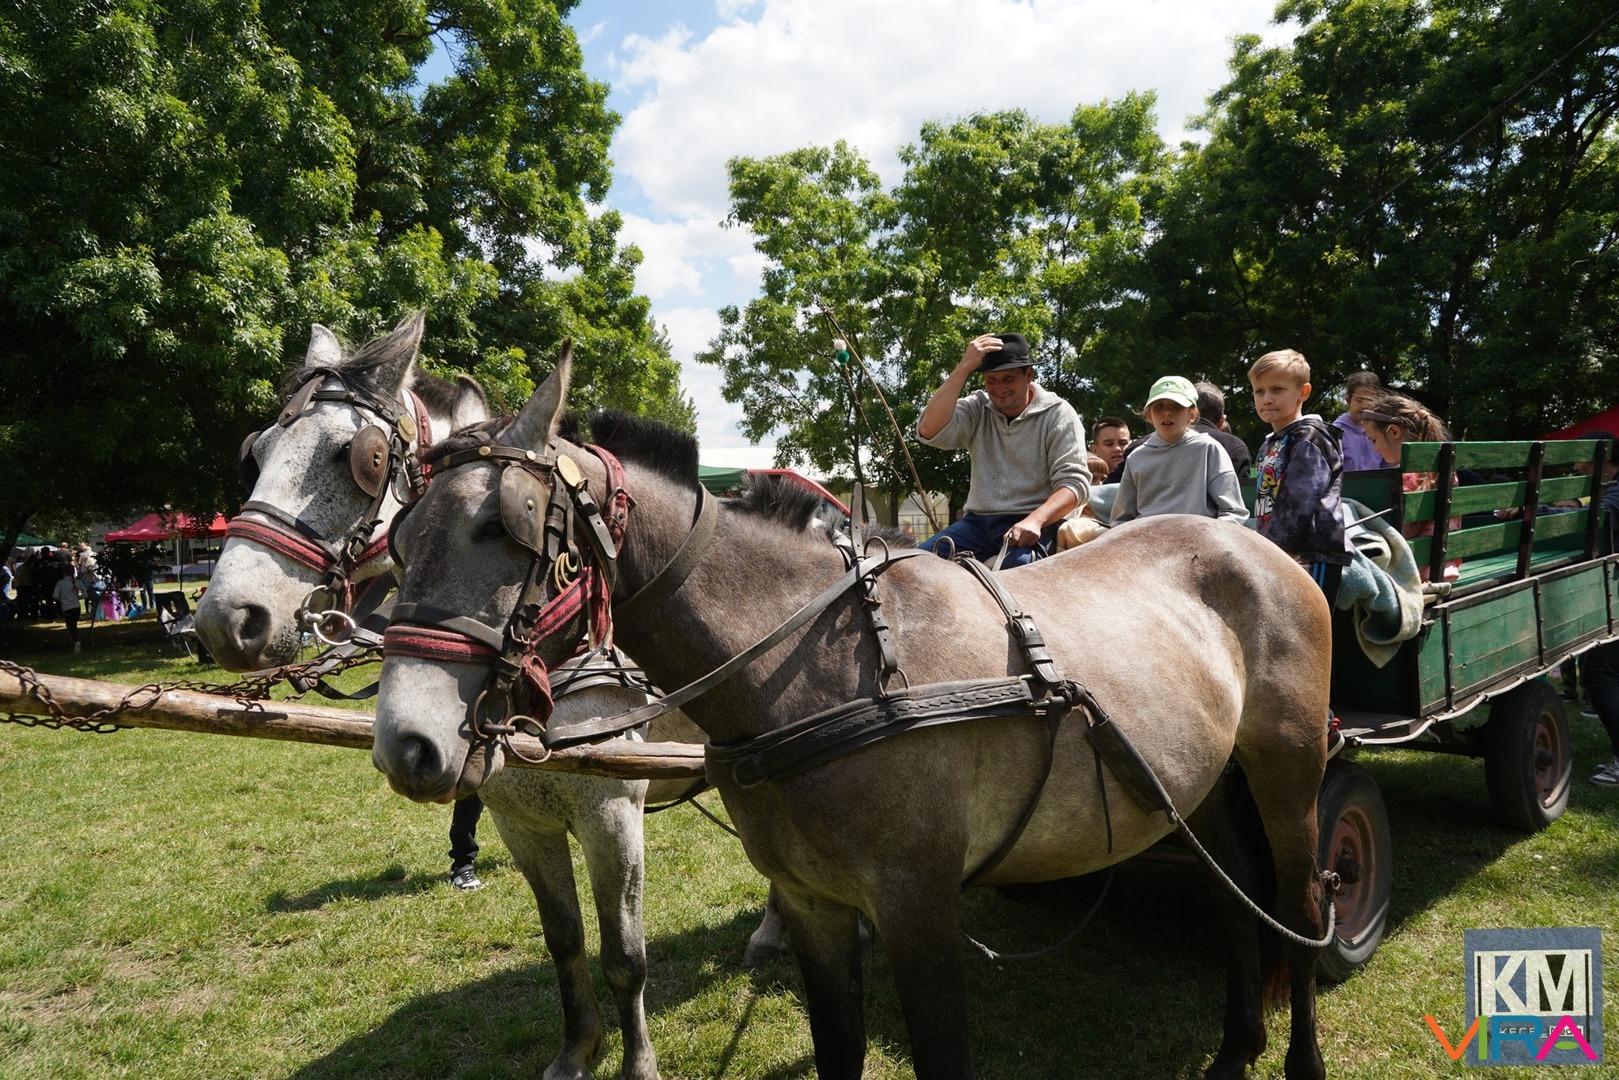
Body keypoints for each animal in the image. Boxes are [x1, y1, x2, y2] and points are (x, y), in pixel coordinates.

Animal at [193, 316, 784, 1080]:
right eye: (256, 453)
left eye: (358, 458)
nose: (225, 619)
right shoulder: (518, 816)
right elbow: (564, 939)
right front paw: (577, 1050)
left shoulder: (612, 814)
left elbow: (624, 957)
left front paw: (636, 1063)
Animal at [370, 356, 1336, 1079]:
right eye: (400, 537)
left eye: (503, 528)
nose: (404, 745)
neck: (815, 666)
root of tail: (1245, 542)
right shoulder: (812, 903)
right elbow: (834, 1049)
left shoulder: (916, 907)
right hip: (1199, 784)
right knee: (1235, 899)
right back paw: (1234, 1048)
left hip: (1288, 774)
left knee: (1297, 906)